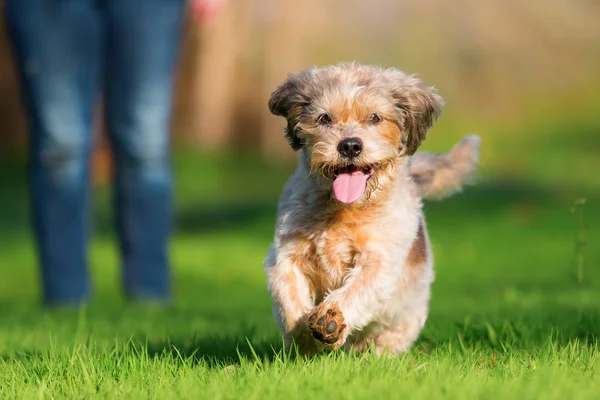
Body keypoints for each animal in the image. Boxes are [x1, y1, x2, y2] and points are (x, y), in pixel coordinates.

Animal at [262, 62, 478, 356]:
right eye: (324, 118)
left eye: (375, 117)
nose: (350, 145)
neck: (345, 209)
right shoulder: (286, 253)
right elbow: (289, 298)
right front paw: (304, 340)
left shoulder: (381, 259)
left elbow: (358, 288)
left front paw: (330, 319)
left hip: (404, 321)